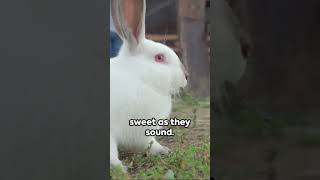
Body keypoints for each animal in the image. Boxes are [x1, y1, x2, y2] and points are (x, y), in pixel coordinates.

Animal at [110, 0, 189, 170]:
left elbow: (151, 144)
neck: (140, 79)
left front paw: (165, 150)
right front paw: (119, 168)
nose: (186, 76)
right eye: (159, 58)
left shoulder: (142, 134)